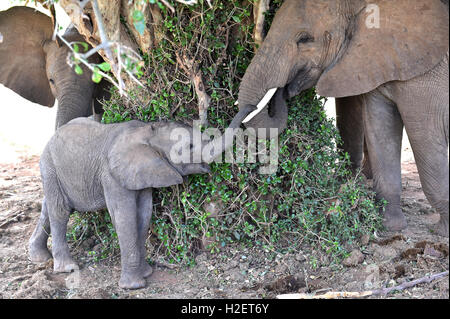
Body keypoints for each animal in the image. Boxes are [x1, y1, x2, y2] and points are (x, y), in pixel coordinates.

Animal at [27, 106, 253, 288]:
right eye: (188, 147)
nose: (251, 106)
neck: (146, 132)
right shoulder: (112, 175)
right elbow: (124, 216)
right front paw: (134, 286)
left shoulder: (145, 172)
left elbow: (143, 213)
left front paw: (146, 273)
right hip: (50, 164)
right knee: (60, 210)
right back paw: (67, 267)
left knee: (49, 205)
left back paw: (39, 257)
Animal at [237, 0, 448, 236]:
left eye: (305, 39)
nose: (283, 91)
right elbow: (381, 133)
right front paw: (391, 227)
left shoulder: (423, 74)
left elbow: (425, 137)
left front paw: (442, 231)